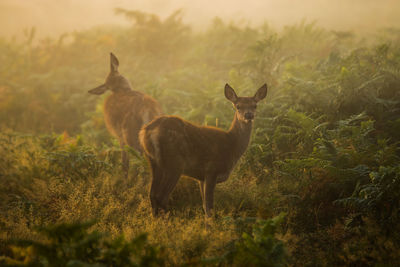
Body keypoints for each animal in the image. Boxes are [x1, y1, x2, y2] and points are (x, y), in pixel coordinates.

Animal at [139, 84, 268, 218]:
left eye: (255, 105)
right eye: (238, 106)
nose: (249, 115)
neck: (231, 145)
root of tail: (146, 131)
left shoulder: (201, 178)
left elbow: (204, 206)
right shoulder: (211, 170)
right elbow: (209, 206)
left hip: (154, 161)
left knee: (152, 194)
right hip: (174, 163)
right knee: (161, 196)